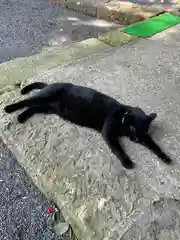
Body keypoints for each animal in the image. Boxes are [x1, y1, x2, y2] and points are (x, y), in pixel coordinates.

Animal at [4, 82, 172, 169]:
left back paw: (21, 117)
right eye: (133, 128)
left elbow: (154, 145)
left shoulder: (145, 138)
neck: (122, 118)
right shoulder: (108, 133)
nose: (136, 139)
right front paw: (127, 162)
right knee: (26, 101)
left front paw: (165, 157)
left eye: (143, 130)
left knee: (32, 108)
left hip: (47, 107)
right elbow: (118, 149)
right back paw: (9, 108)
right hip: (44, 97)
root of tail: (51, 83)